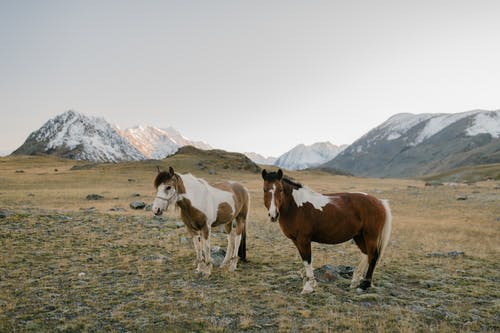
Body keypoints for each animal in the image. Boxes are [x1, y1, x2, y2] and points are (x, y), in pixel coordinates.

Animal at [262, 169, 390, 294]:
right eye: (264, 189)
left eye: (280, 189)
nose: (273, 215)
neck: (296, 207)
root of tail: (379, 202)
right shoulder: (296, 240)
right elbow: (305, 260)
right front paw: (312, 284)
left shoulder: (303, 239)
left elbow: (307, 260)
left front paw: (308, 287)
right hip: (359, 236)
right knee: (366, 253)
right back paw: (354, 282)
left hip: (370, 236)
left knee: (373, 256)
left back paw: (364, 285)